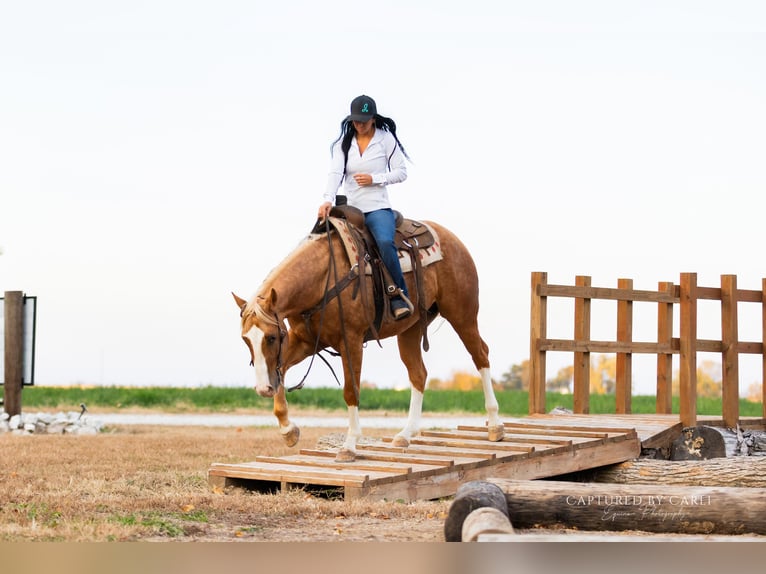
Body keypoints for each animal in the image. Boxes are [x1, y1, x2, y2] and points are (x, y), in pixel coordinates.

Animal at [232, 217, 505, 462]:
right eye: (246, 340)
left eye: (271, 337)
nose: (262, 389)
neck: (322, 279)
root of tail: (453, 240)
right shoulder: (305, 341)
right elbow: (280, 372)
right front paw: (288, 430)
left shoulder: (350, 341)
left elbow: (351, 391)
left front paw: (349, 446)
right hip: (411, 329)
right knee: (419, 373)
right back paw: (406, 434)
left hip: (462, 314)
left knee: (481, 355)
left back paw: (495, 425)